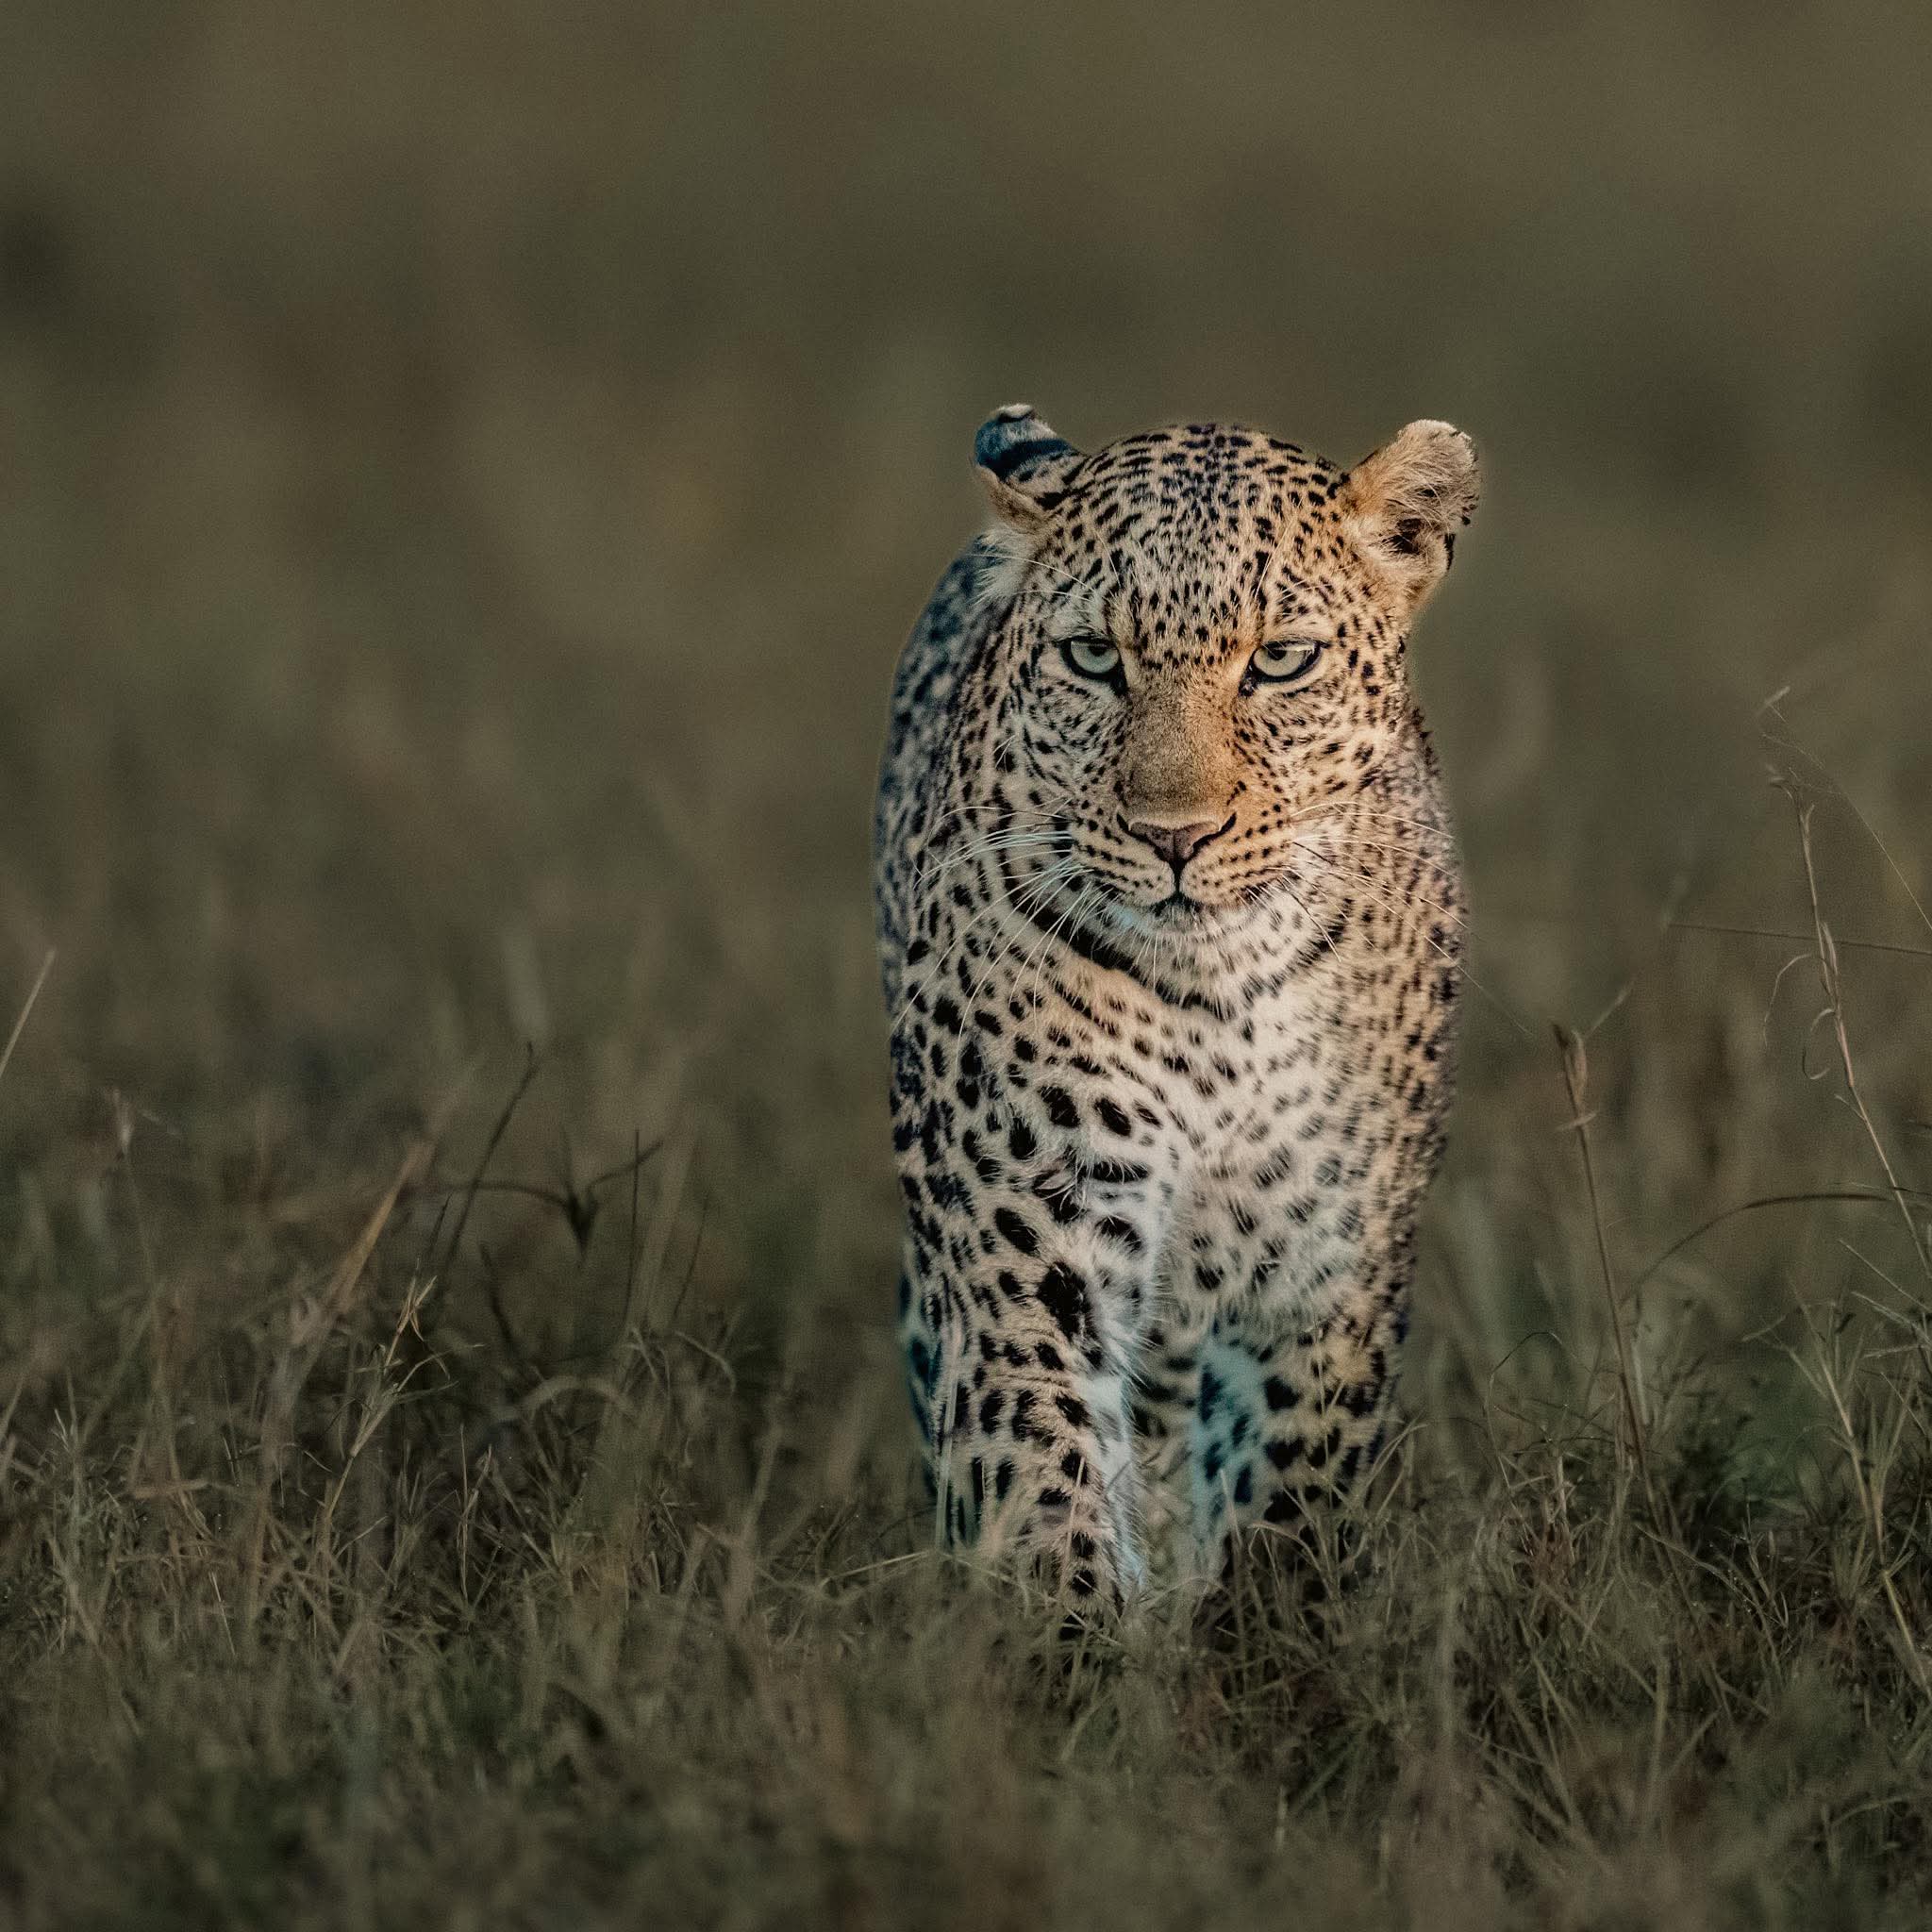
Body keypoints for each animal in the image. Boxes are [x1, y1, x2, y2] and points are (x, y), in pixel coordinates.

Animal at [873, 404, 1477, 1606]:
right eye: (1093, 657)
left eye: (1278, 661)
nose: (1175, 836)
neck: (1219, 1001)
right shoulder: (1027, 1231)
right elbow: (1039, 1463)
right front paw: (1069, 1642)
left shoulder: (1325, 1258)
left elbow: (1287, 1480)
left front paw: (1266, 1631)